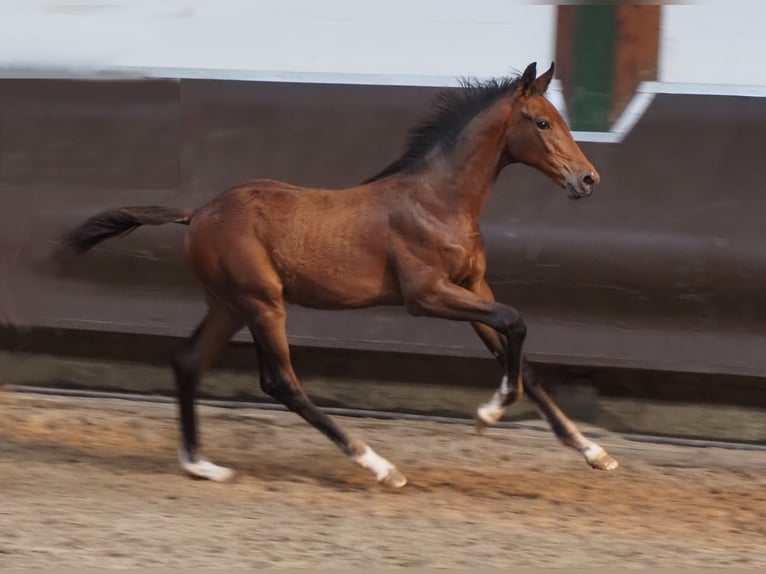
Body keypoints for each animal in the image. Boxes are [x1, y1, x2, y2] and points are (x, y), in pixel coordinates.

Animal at [64, 60, 616, 488]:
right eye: (542, 123)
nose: (589, 179)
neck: (438, 201)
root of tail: (197, 211)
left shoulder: (470, 285)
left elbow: (518, 354)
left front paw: (594, 452)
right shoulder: (427, 295)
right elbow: (514, 321)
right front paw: (489, 412)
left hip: (229, 305)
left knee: (187, 361)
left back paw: (202, 465)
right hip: (262, 302)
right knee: (280, 382)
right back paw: (379, 465)